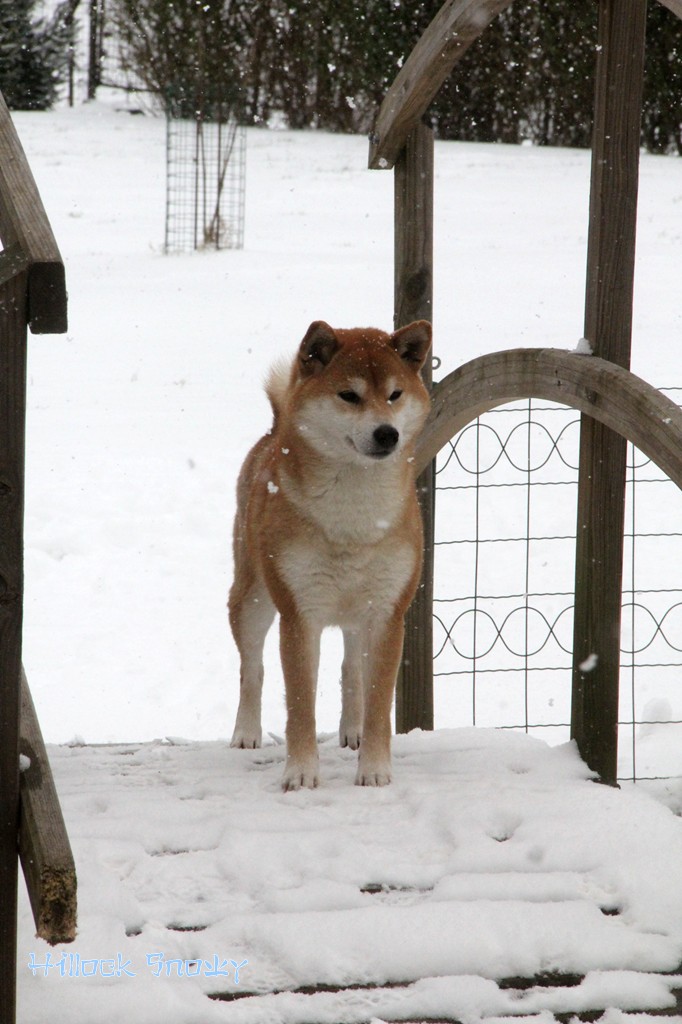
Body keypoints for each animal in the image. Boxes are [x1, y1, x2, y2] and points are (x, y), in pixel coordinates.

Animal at [228, 319, 430, 790]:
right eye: (349, 395)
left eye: (395, 394)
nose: (387, 433)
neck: (354, 518)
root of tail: (273, 431)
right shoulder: (300, 613)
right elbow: (299, 703)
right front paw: (300, 773)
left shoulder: (388, 612)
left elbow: (378, 703)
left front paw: (374, 769)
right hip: (253, 598)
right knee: (252, 669)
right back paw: (246, 731)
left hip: (359, 612)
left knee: (351, 670)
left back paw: (351, 730)